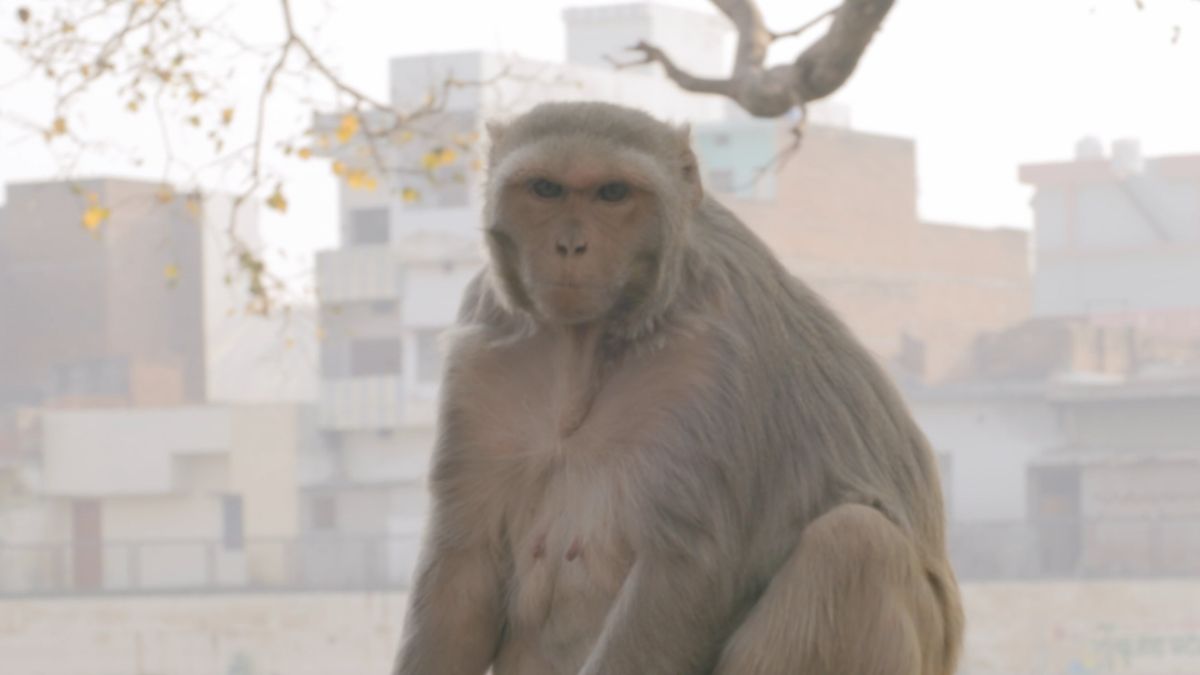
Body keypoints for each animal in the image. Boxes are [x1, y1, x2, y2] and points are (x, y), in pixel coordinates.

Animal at [392, 101, 963, 675]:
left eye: (613, 193)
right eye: (546, 189)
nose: (571, 245)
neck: (589, 345)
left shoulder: (711, 352)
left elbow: (684, 568)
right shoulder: (485, 350)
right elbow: (463, 563)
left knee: (854, 544)